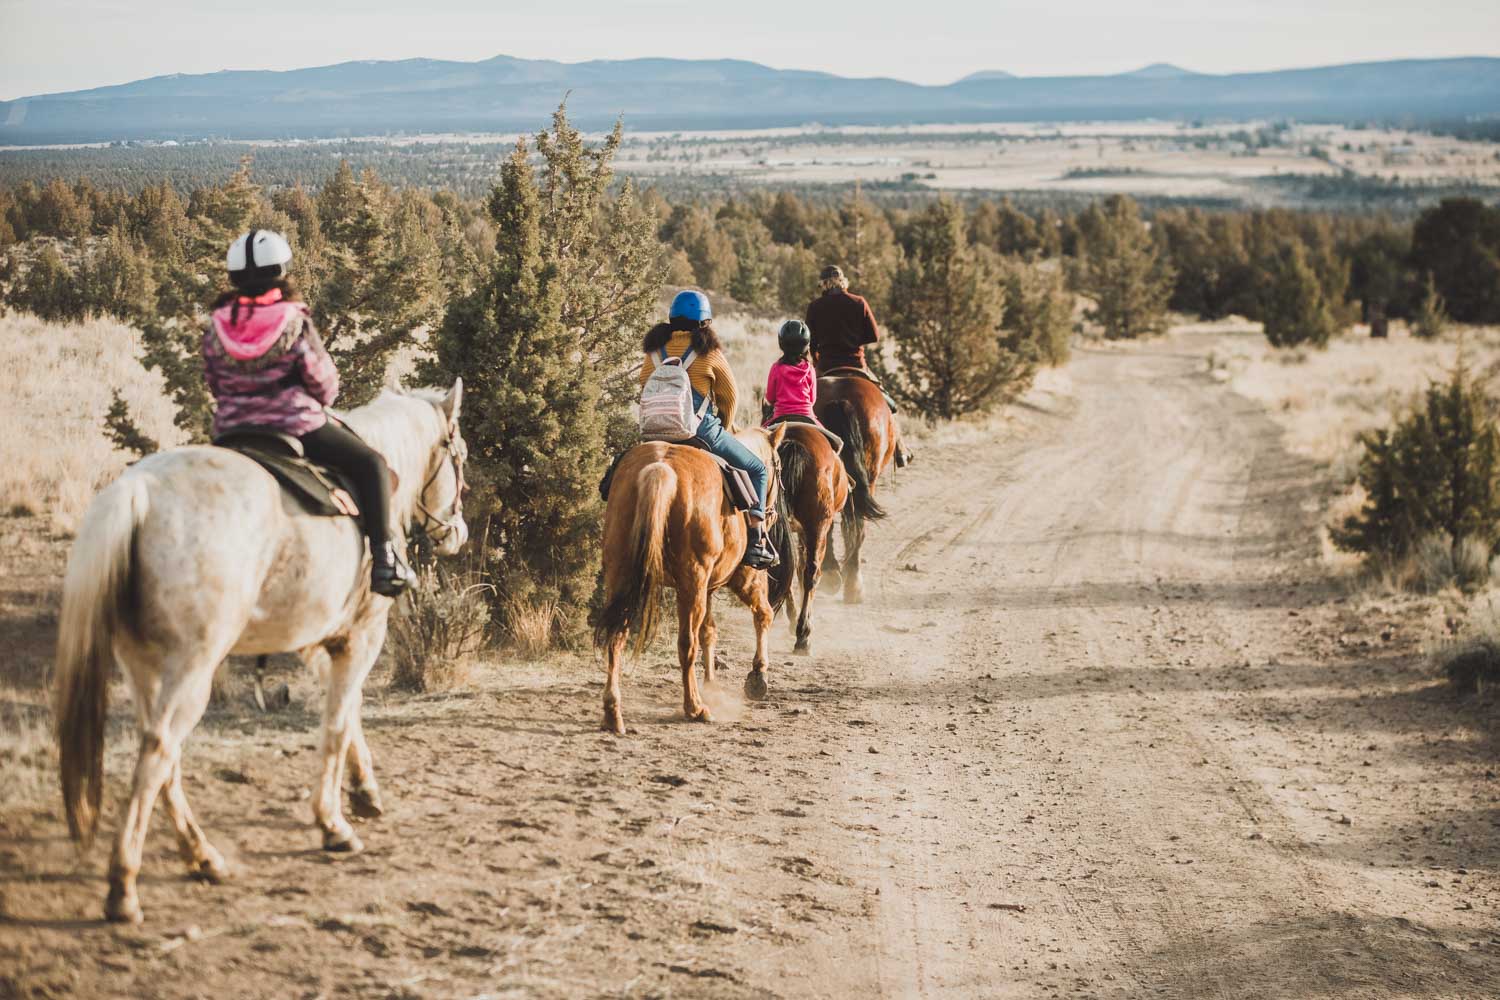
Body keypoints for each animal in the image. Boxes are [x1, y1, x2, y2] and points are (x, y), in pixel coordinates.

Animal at [57, 380, 468, 923]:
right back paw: (124, 886)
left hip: (142, 665)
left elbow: (349, 713)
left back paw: (202, 857)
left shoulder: (320, 640)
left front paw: (364, 793)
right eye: (460, 457)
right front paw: (333, 824)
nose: (457, 532)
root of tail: (138, 492)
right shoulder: (362, 635)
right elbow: (336, 724)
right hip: (191, 670)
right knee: (159, 751)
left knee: (163, 757)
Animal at [591, 425, 792, 734]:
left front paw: (712, 684)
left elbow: (709, 631)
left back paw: (613, 713)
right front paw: (758, 677)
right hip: (692, 580)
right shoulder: (746, 578)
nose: (771, 514)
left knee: (617, 636)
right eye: (779, 467)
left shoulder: (707, 587)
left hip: (622, 575)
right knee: (686, 643)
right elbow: (763, 614)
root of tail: (661, 468)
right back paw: (695, 708)